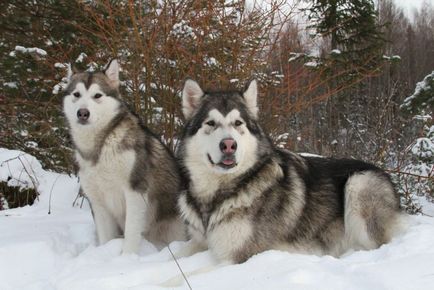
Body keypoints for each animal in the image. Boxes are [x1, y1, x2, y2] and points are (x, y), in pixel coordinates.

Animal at [63, 59, 186, 254]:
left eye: (97, 95)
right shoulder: (97, 201)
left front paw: (127, 257)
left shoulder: (135, 190)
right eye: (76, 94)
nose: (82, 113)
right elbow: (105, 237)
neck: (102, 144)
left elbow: (131, 231)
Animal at [175, 78, 406, 262]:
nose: (229, 145)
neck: (216, 197)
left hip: (358, 185)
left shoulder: (239, 256)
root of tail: (386, 175)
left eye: (238, 123)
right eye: (210, 123)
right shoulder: (198, 242)